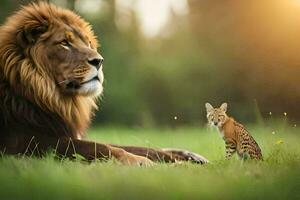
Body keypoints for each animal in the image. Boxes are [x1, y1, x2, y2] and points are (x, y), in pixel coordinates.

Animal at [0, 2, 209, 166]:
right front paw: (139, 161)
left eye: (87, 43)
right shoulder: (26, 142)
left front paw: (187, 156)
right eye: (64, 43)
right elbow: (99, 147)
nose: (99, 61)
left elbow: (135, 146)